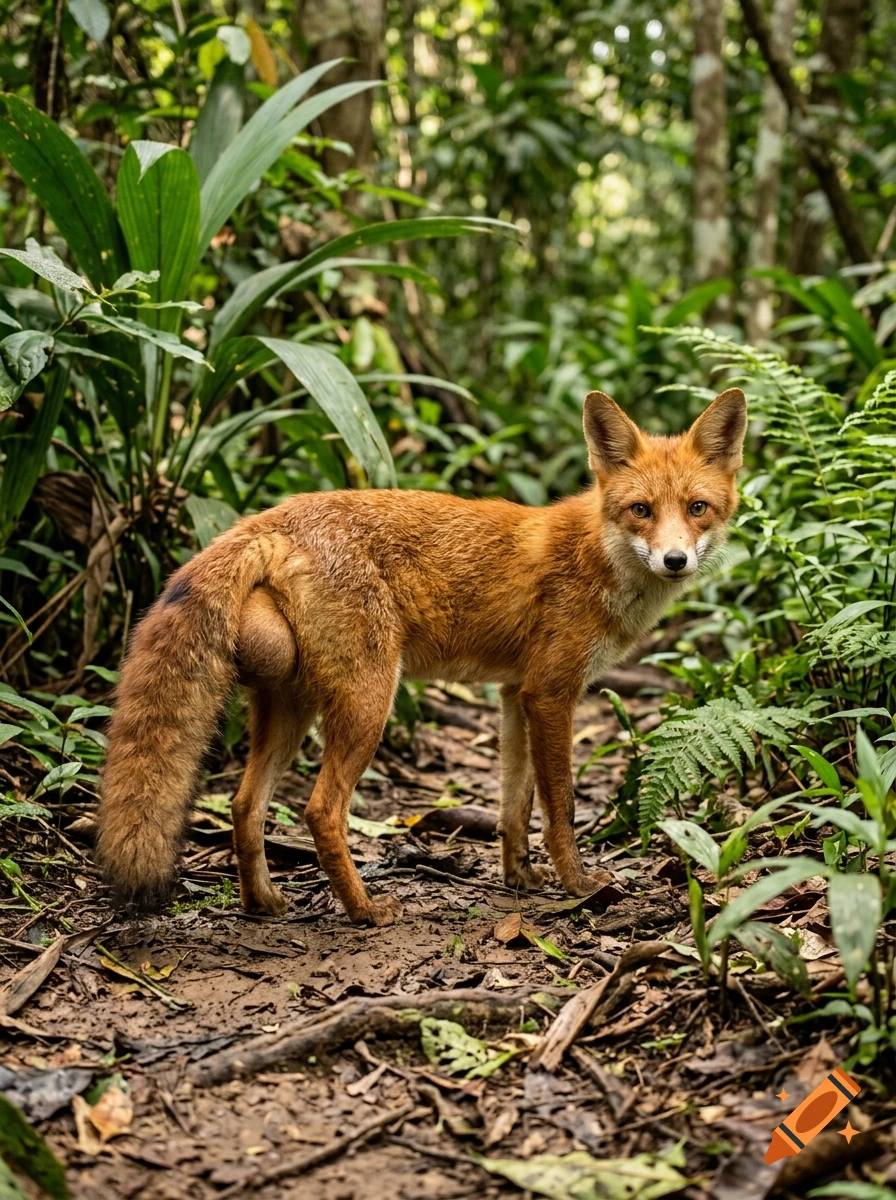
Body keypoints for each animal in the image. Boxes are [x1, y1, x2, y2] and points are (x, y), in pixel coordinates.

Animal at [96, 387, 747, 927]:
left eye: (697, 508)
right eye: (641, 510)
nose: (674, 561)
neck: (599, 555)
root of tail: (272, 517)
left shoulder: (515, 693)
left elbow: (515, 805)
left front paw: (520, 877)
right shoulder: (551, 693)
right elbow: (559, 806)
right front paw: (579, 885)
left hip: (290, 704)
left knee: (244, 804)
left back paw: (262, 903)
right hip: (369, 701)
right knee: (320, 811)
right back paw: (364, 911)